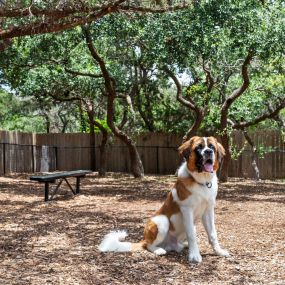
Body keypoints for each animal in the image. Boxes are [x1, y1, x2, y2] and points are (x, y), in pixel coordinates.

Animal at [98, 135, 229, 262]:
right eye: (198, 148)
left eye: (212, 147)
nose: (208, 151)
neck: (201, 182)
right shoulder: (187, 210)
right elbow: (192, 235)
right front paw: (194, 256)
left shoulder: (208, 210)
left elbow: (212, 234)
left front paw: (219, 251)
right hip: (162, 221)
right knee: (148, 245)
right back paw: (158, 250)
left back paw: (183, 245)